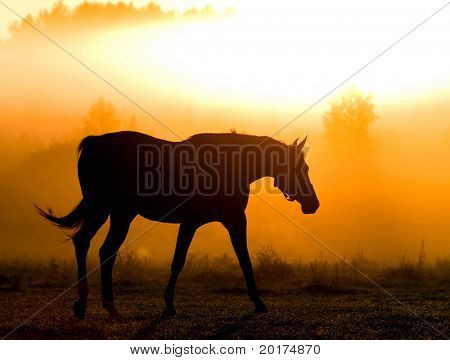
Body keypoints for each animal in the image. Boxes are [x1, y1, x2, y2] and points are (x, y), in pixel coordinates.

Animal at [37, 131, 320, 320]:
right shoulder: (229, 220)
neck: (230, 166)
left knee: (84, 242)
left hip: (104, 211)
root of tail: (93, 143)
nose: (313, 204)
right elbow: (241, 260)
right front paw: (258, 302)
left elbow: (181, 260)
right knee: (105, 250)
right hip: (119, 213)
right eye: (301, 168)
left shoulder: (197, 223)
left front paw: (169, 303)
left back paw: (83, 303)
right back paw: (109, 306)